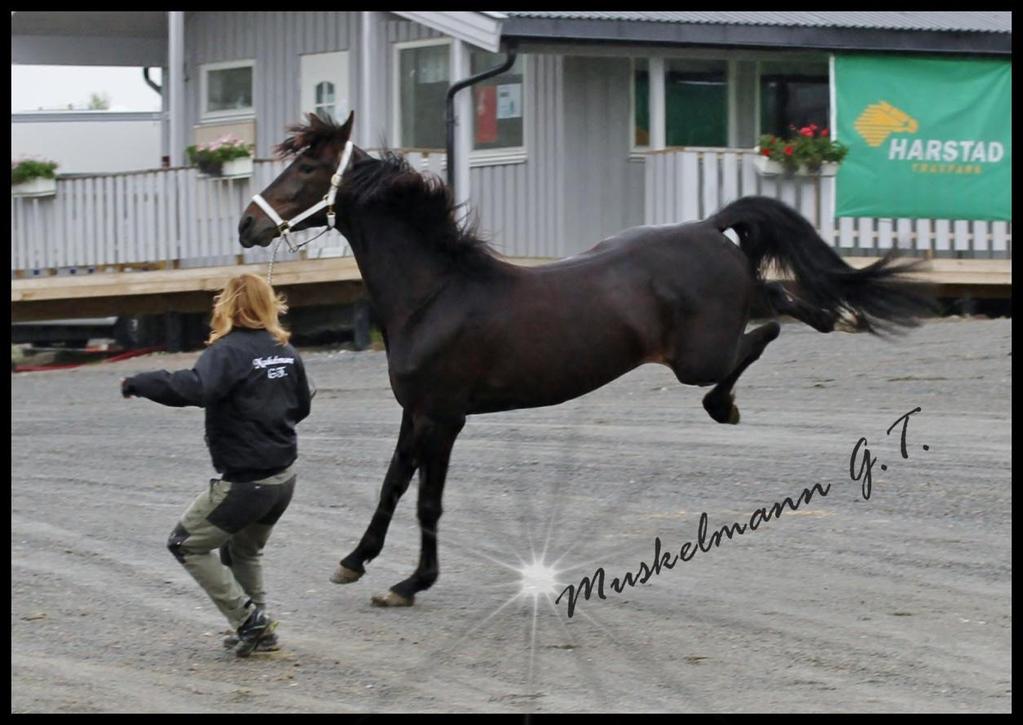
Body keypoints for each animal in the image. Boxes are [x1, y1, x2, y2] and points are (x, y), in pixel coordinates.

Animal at [239, 111, 937, 605]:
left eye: (308, 168)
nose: (248, 225)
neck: (435, 292)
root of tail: (707, 227)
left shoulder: (444, 417)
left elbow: (427, 501)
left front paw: (411, 585)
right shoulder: (417, 413)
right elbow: (393, 484)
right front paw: (354, 563)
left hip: (698, 356)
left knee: (761, 328)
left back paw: (731, 403)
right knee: (775, 297)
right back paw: (828, 316)